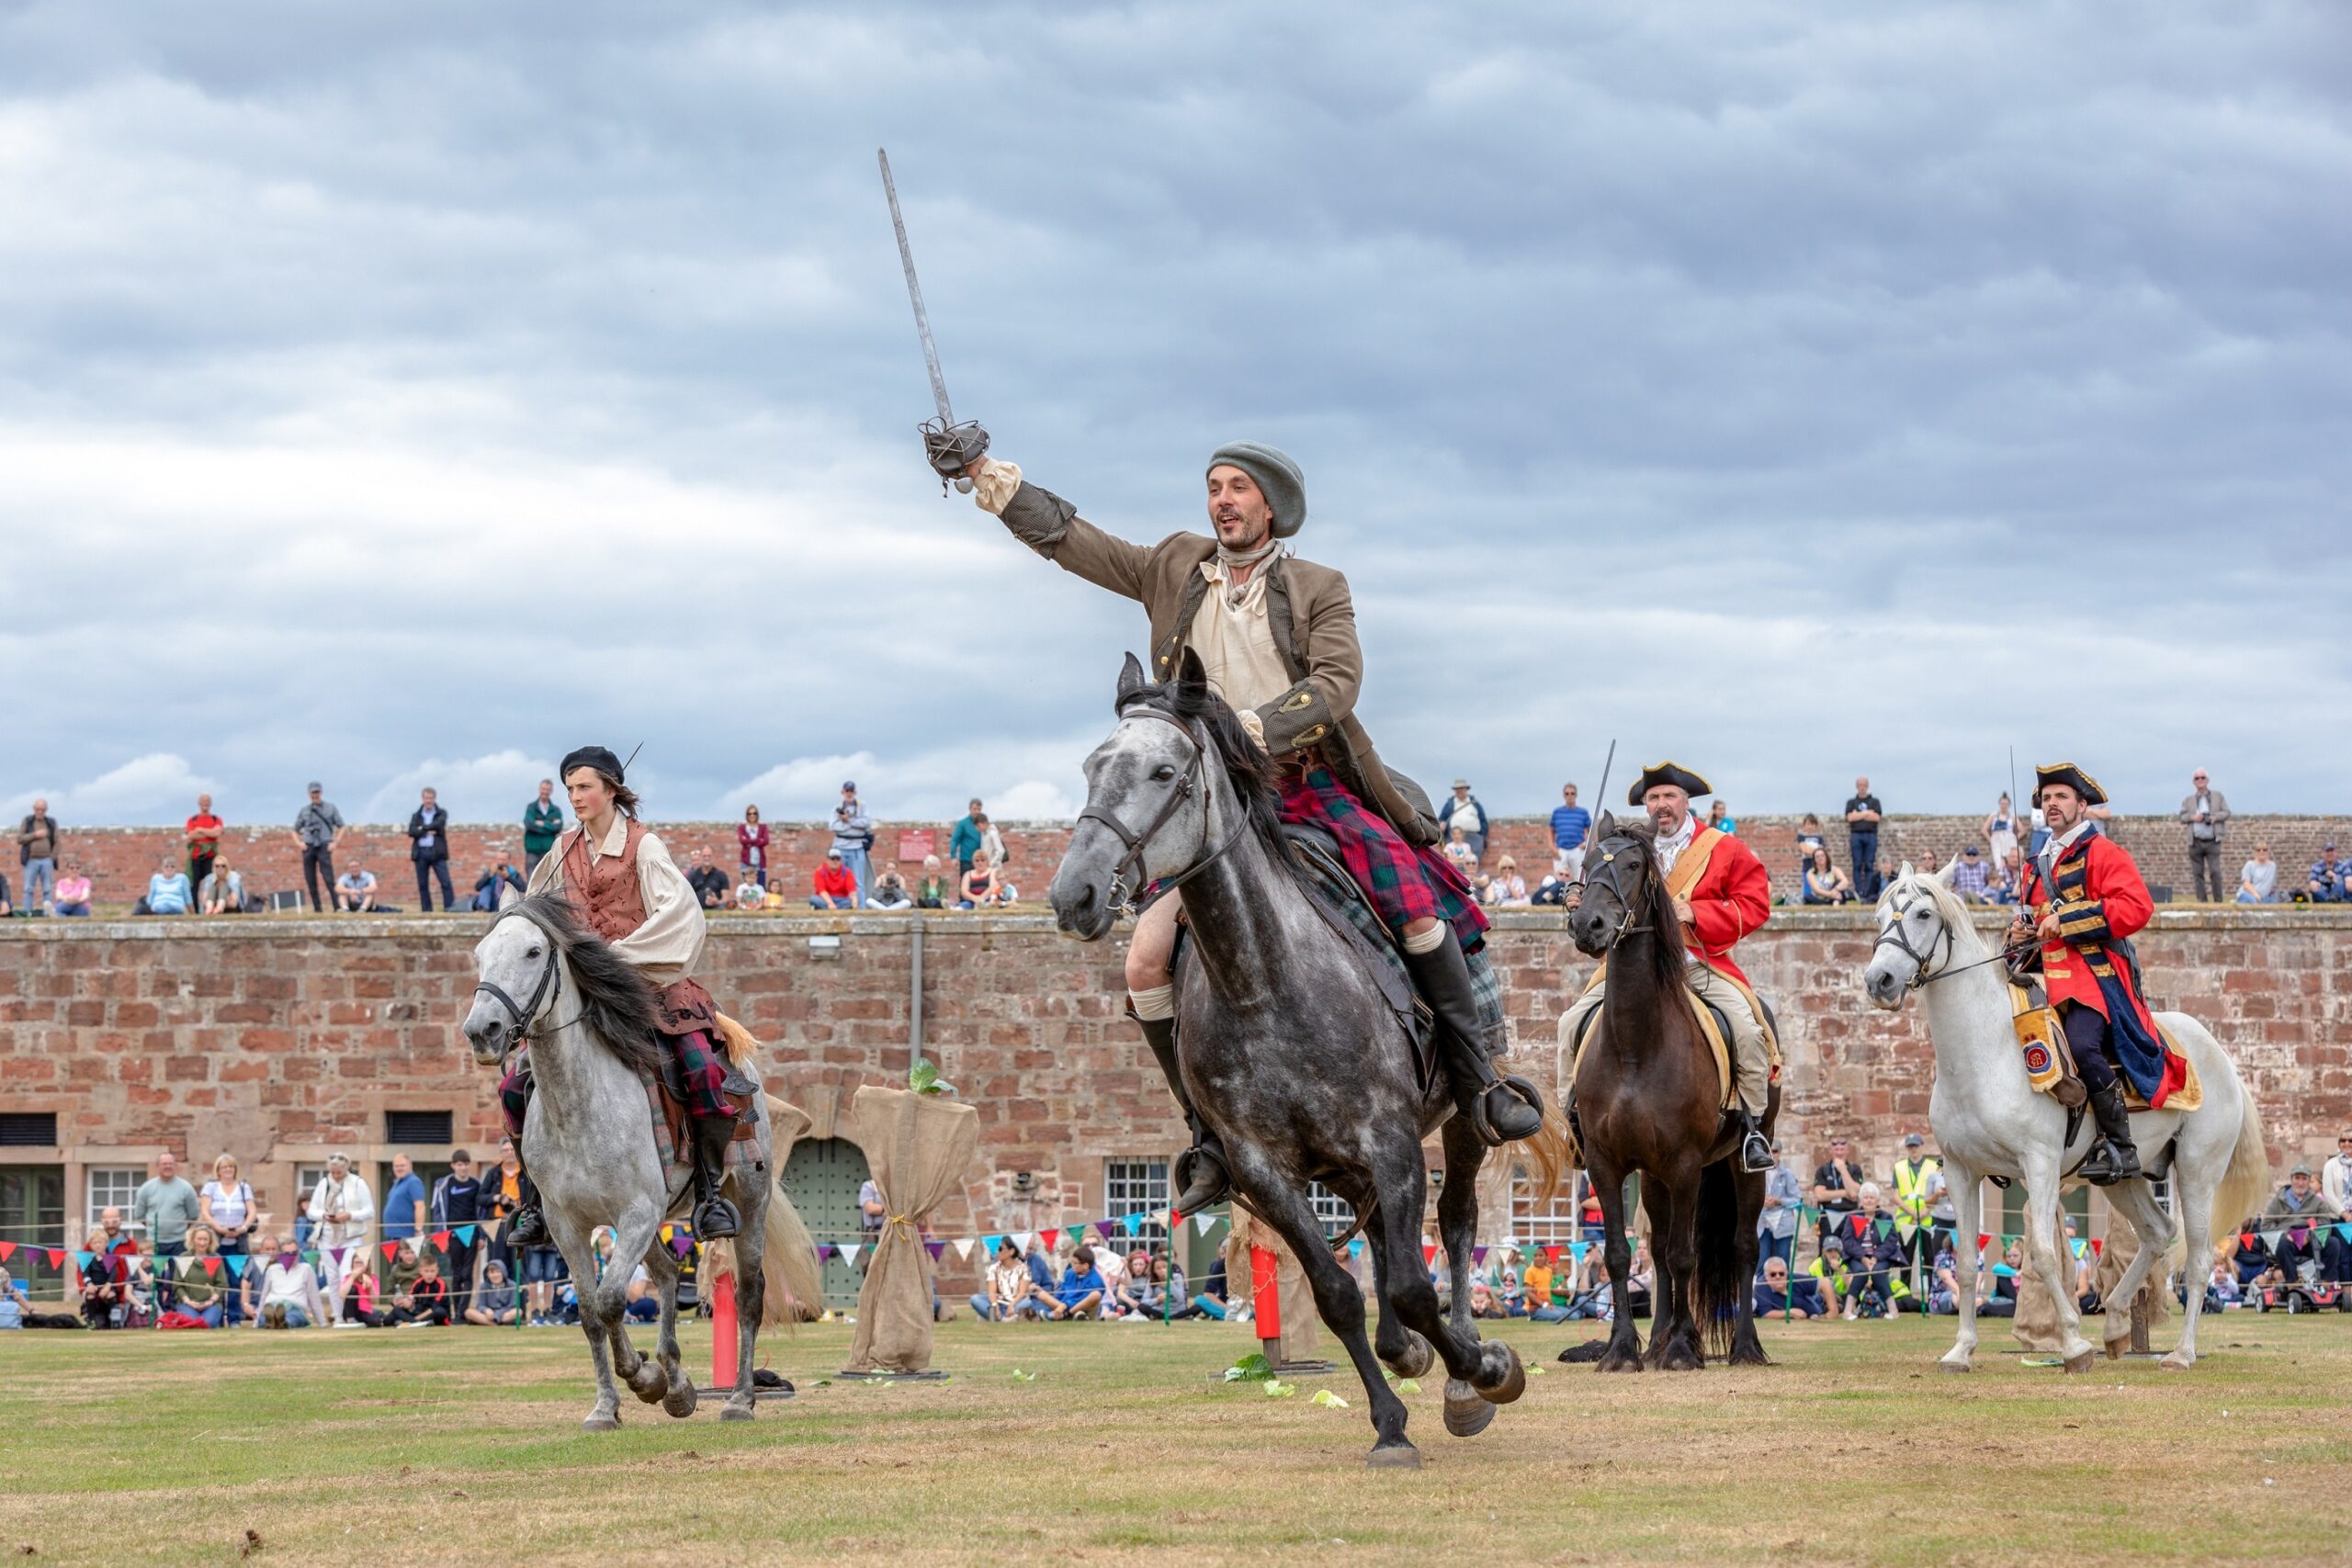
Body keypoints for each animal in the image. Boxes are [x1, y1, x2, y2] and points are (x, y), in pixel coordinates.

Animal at [463, 893, 823, 1419]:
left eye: (533, 952)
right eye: (481, 954)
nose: (481, 1030)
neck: (580, 1106)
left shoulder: (635, 1212)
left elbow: (612, 1299)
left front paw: (643, 1377)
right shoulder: (567, 1224)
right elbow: (591, 1311)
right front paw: (610, 1405)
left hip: (748, 1198)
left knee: (749, 1296)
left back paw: (739, 1398)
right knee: (669, 1274)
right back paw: (679, 1384)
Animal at [1048, 653, 1561, 1476]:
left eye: (1164, 771)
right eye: (1094, 767)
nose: (1076, 894)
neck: (1263, 981)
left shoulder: (1391, 1140)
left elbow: (1412, 1283)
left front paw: (1482, 1370)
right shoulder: (1265, 1170)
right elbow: (1337, 1292)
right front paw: (1390, 1422)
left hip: (1459, 1118)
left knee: (1454, 1224)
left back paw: (1462, 1367)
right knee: (1382, 1246)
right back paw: (1409, 1355)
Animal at [1561, 822, 1769, 1372]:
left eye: (1634, 866)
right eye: (1587, 863)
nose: (1587, 925)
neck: (1636, 1044)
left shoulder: (1685, 1163)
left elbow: (1684, 1255)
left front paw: (1682, 1348)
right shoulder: (1607, 1162)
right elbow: (1622, 1254)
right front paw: (1622, 1349)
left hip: (1741, 1163)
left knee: (1742, 1247)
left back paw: (1743, 1346)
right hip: (1652, 1175)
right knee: (1655, 1252)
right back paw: (1655, 1341)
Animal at [1862, 864, 2267, 1382]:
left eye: (1923, 914)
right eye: (1878, 916)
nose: (1879, 980)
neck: (1983, 1053)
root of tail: (2220, 1054)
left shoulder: (2039, 1164)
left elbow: (2042, 1252)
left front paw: (2073, 1344)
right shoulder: (1959, 1170)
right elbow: (1970, 1261)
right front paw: (1961, 1350)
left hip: (2198, 1171)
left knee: (2196, 1257)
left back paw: (2180, 1352)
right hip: (2125, 1178)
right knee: (2157, 1232)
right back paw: (2115, 1322)